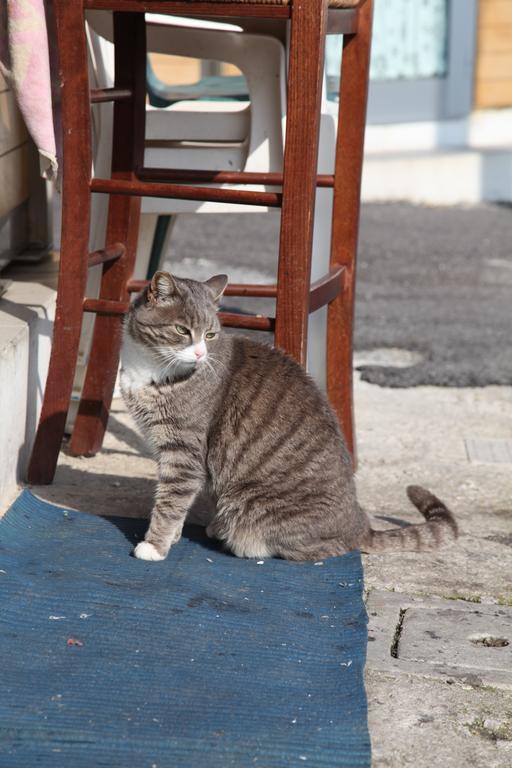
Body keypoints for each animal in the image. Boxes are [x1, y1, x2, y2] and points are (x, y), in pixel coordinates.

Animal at [120, 272, 456, 560]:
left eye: (211, 334)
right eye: (182, 330)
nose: (201, 354)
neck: (151, 369)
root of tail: (360, 525)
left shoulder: (184, 451)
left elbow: (170, 501)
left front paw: (155, 546)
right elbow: (175, 501)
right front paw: (172, 537)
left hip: (254, 506)